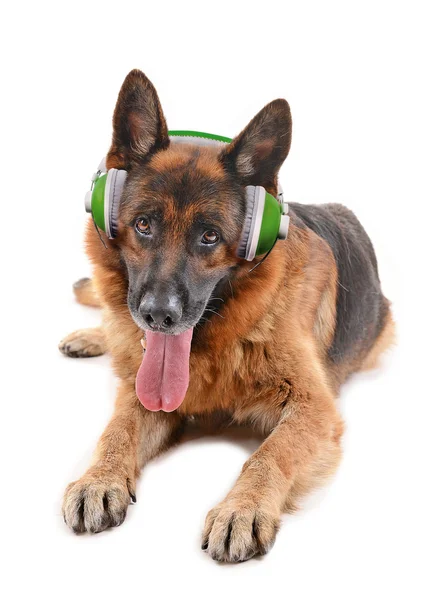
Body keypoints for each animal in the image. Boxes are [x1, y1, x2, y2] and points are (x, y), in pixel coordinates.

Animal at [60, 70, 394, 564]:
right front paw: (98, 478)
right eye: (143, 225)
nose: (158, 317)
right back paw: (91, 336)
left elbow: (269, 454)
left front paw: (243, 508)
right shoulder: (142, 393)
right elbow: (117, 429)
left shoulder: (314, 409)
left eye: (210, 237)